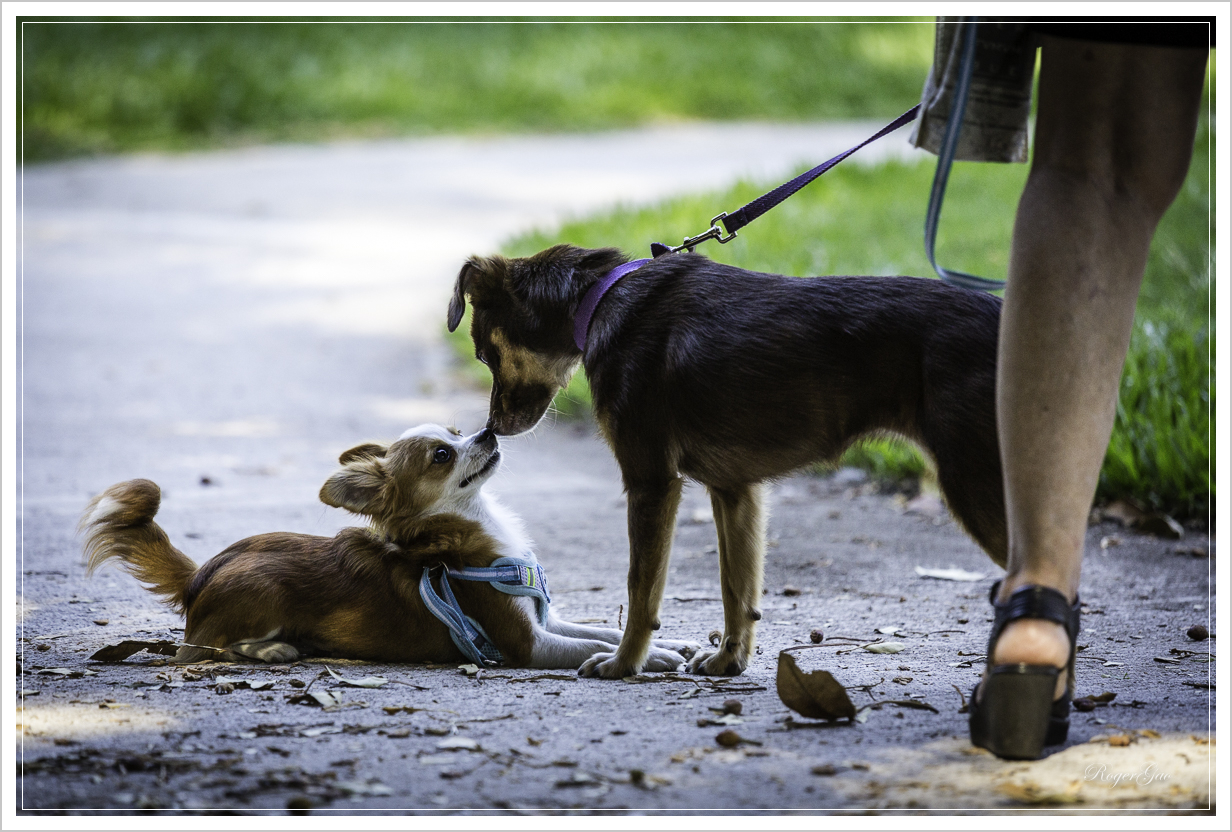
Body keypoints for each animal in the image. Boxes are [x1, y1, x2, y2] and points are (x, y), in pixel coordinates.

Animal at [84, 424, 704, 670]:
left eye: (456, 429)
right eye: (442, 455)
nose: (487, 430)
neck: (477, 525)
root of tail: (200, 575)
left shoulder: (544, 618)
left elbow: (602, 631)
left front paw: (677, 643)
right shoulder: (526, 645)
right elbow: (582, 647)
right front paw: (658, 659)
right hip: (259, 591)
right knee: (198, 653)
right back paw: (274, 651)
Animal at [448, 244, 1005, 680]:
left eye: (484, 353)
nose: (492, 427)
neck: (600, 297)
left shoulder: (651, 481)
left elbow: (642, 591)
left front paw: (624, 664)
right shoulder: (737, 489)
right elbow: (738, 588)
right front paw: (728, 661)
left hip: (976, 483)